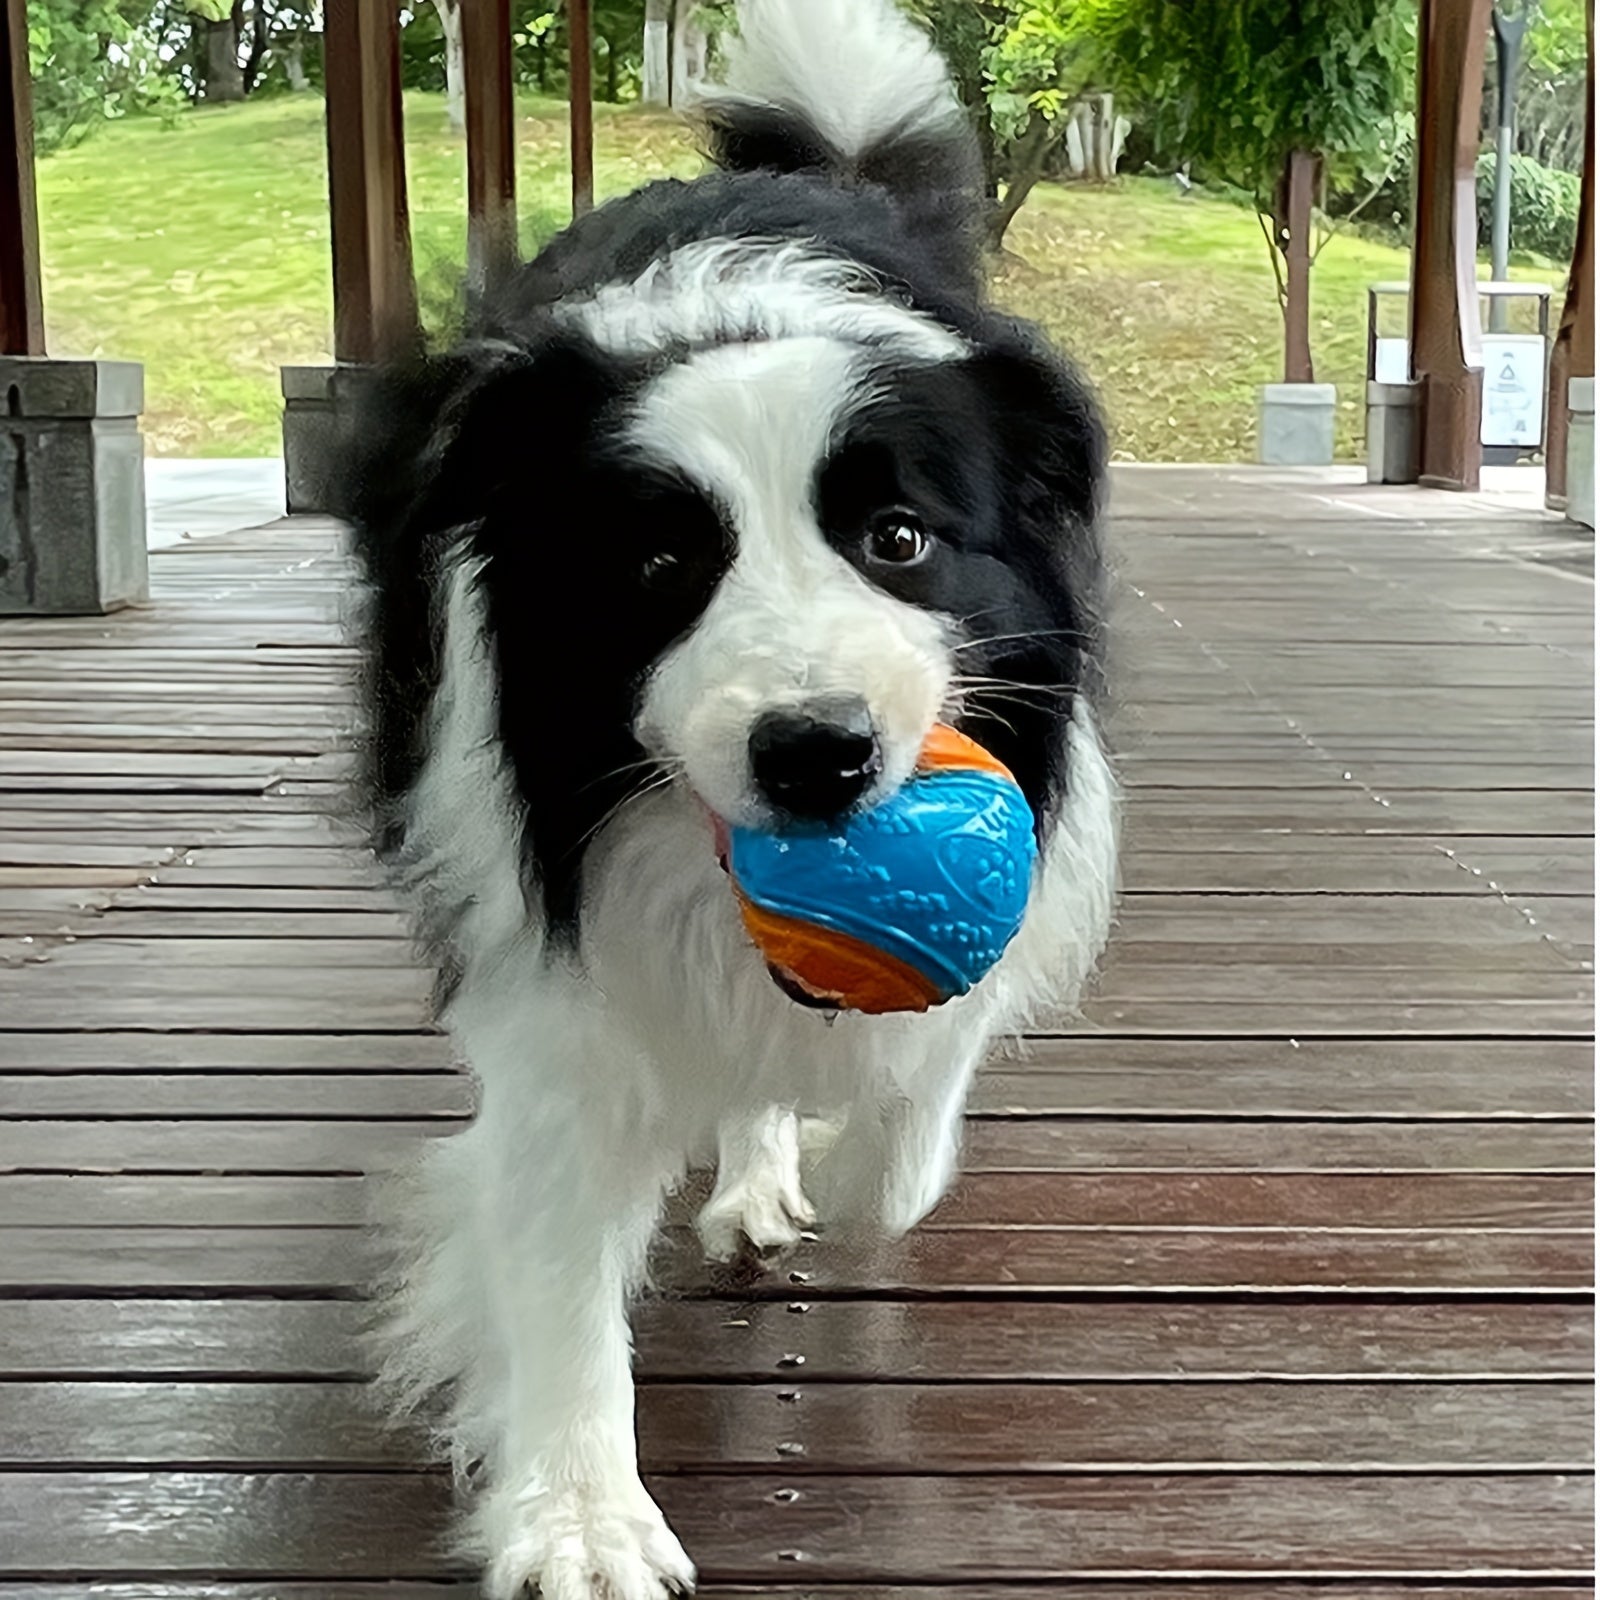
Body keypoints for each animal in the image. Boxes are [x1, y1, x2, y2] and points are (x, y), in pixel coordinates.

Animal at [340, 6, 1113, 1593]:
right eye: (656, 571)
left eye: (899, 539)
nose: (815, 753)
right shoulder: (541, 963)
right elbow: (556, 1247)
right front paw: (579, 1518)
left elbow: (904, 1140)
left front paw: (825, 1140)